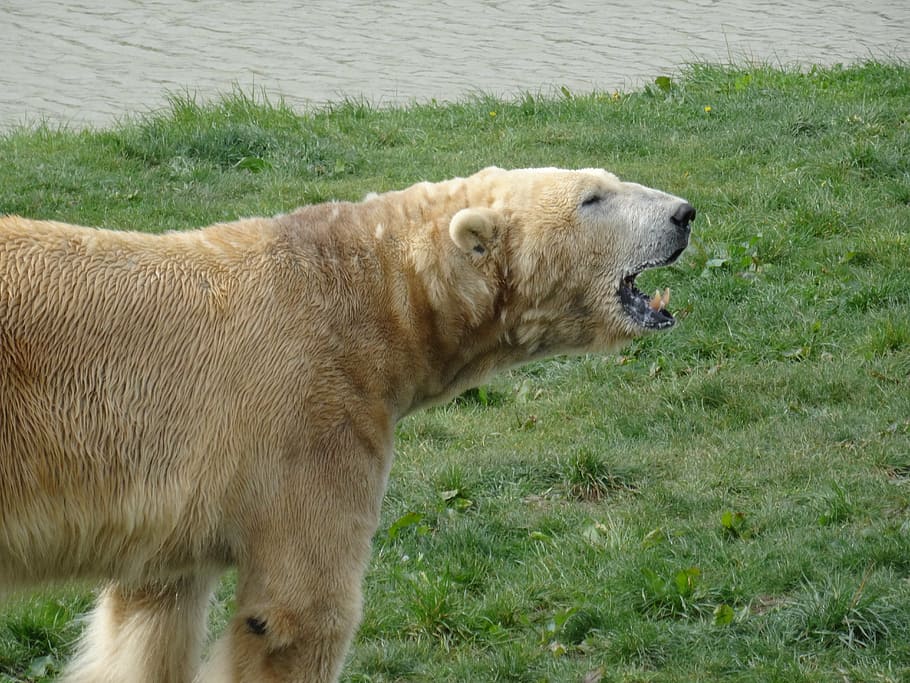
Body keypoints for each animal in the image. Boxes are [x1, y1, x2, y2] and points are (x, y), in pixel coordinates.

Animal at [0, 167, 696, 683]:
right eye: (593, 197)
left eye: (608, 179)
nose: (684, 214)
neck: (368, 293)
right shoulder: (310, 419)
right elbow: (300, 613)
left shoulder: (173, 500)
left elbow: (150, 616)